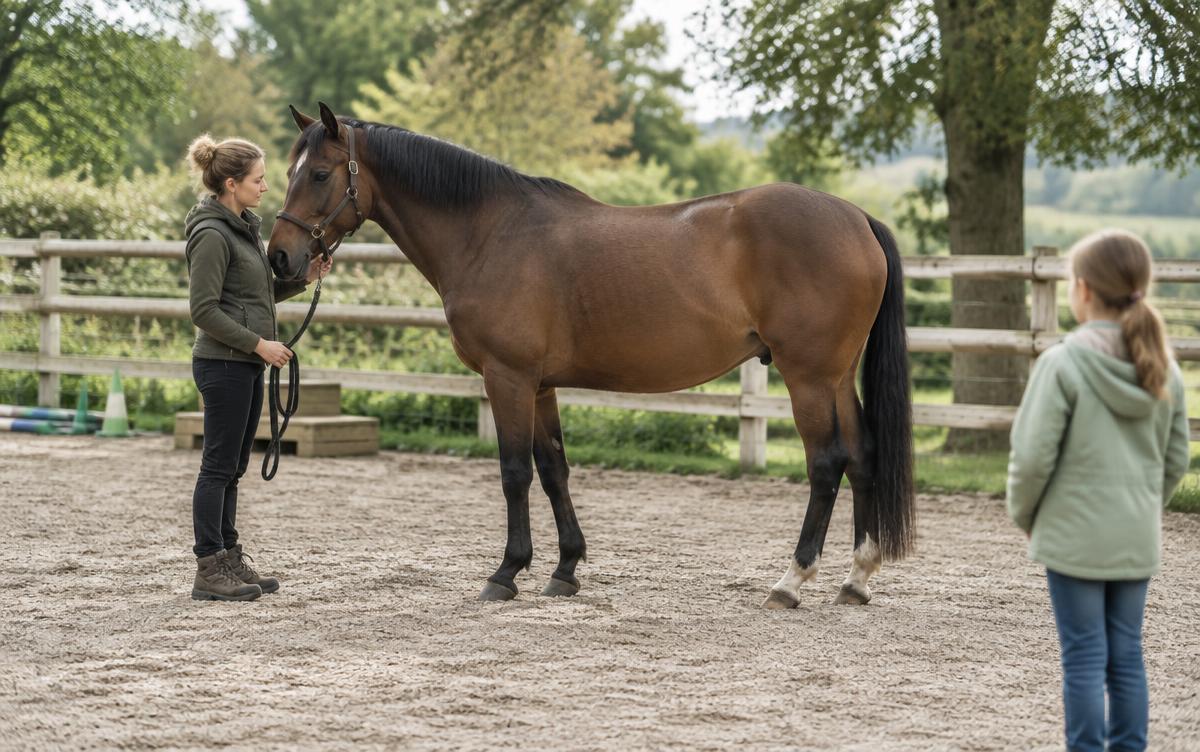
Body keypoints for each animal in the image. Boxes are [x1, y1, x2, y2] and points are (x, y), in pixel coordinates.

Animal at [268, 103, 915, 608]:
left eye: (320, 173)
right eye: (289, 172)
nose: (280, 259)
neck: (490, 232)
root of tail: (857, 217)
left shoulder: (508, 378)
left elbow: (514, 472)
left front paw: (506, 573)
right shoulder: (541, 384)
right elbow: (554, 469)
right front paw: (564, 570)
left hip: (808, 377)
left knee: (827, 464)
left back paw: (791, 581)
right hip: (836, 378)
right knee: (863, 457)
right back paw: (856, 579)